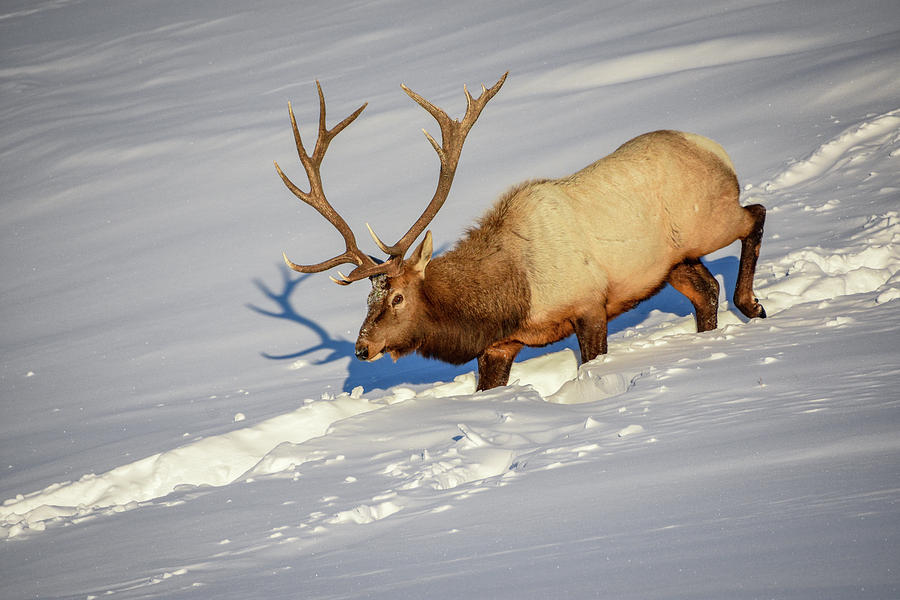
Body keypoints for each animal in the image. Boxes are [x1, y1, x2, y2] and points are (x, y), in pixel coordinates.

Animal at [274, 72, 768, 392]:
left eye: (396, 297)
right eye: (366, 299)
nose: (361, 348)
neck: (510, 297)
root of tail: (714, 149)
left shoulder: (590, 304)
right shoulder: (498, 346)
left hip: (711, 219)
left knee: (755, 214)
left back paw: (752, 304)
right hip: (672, 260)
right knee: (706, 289)